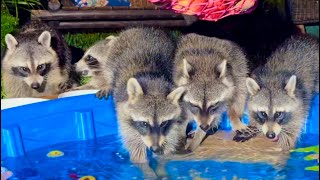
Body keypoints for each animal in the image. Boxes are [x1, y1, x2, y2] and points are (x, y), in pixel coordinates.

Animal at [96, 27, 189, 163]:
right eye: (144, 123)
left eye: (163, 123)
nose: (155, 148)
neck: (154, 87)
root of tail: (144, 28)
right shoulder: (123, 108)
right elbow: (133, 139)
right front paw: (142, 162)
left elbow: (172, 133)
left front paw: (164, 155)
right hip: (114, 52)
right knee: (108, 69)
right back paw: (107, 83)